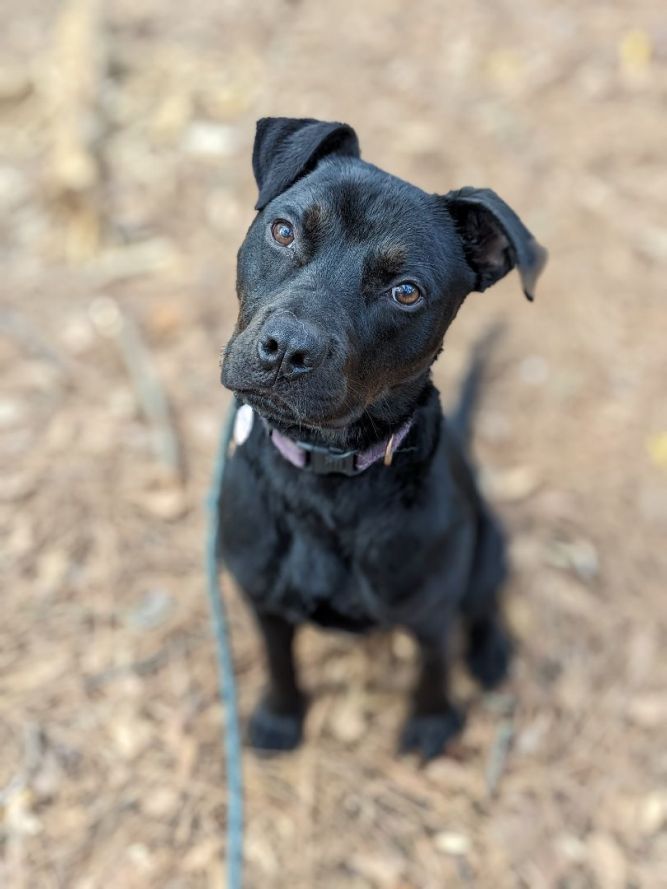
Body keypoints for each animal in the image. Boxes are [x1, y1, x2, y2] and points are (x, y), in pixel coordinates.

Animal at [220, 114, 548, 760]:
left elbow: (433, 669)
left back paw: (491, 654)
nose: (287, 349)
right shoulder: (260, 596)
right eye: (283, 230)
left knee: (485, 602)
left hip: (487, 546)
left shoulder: (432, 610)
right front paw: (279, 717)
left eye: (406, 291)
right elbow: (278, 660)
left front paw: (432, 725)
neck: (321, 477)